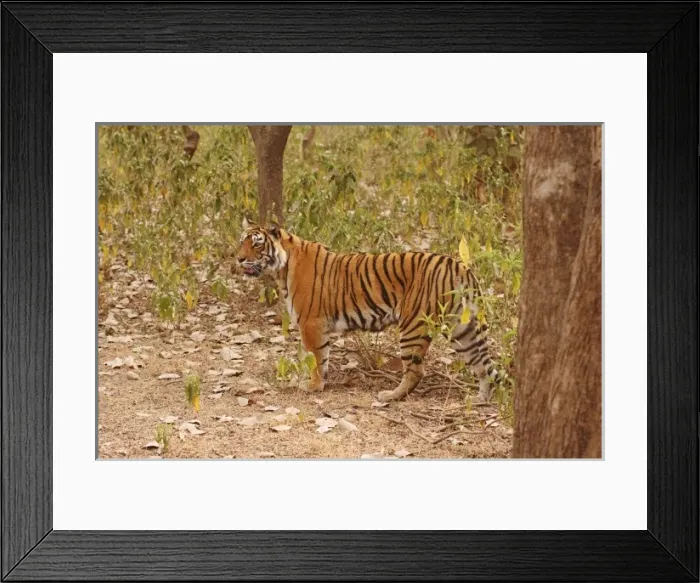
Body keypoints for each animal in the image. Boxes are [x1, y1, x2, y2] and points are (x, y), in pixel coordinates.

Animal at [237, 218, 502, 403]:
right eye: (242, 242)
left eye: (257, 244)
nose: (238, 259)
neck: (281, 269)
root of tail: (459, 266)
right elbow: (317, 357)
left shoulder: (311, 323)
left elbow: (316, 358)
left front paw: (314, 385)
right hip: (463, 328)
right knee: (482, 364)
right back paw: (480, 398)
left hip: (413, 326)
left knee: (416, 371)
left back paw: (390, 396)